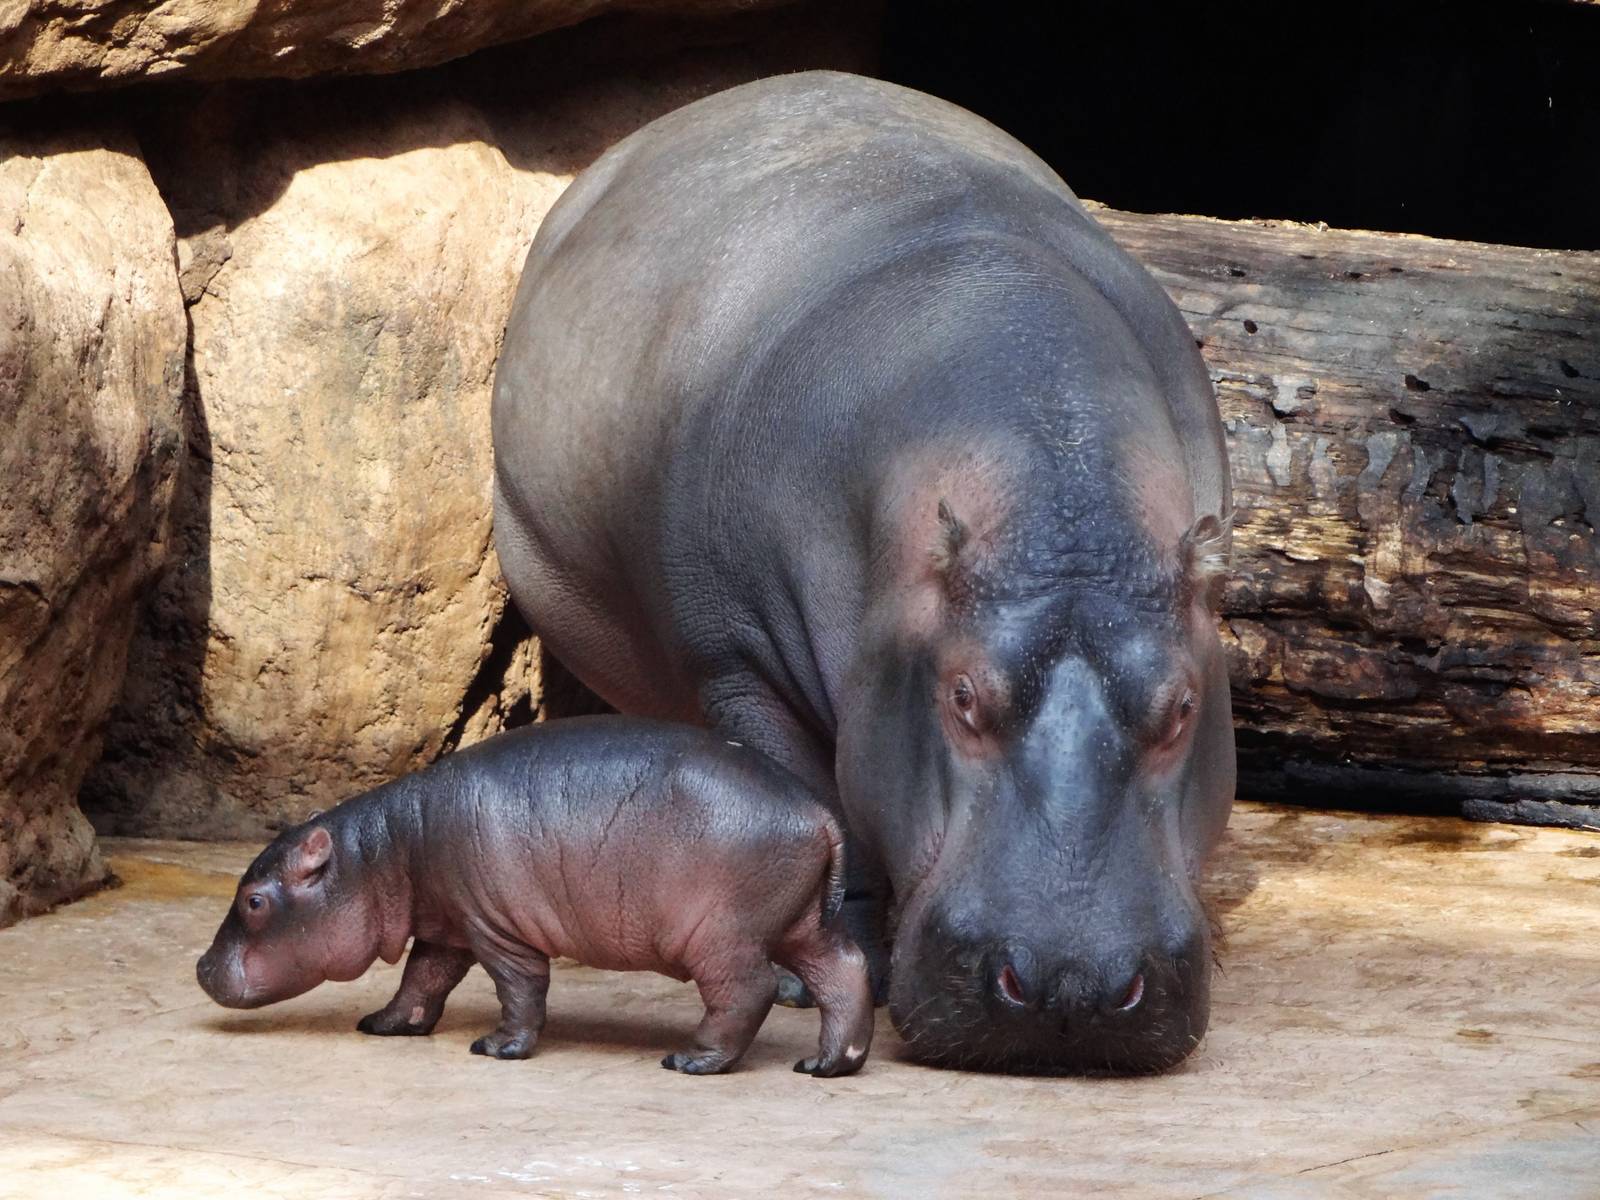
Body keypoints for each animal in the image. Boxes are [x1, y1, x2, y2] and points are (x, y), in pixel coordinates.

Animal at [196, 717, 874, 1077]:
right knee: (844, 969)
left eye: (253, 900)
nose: (201, 967)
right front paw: (383, 1024)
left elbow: (519, 986)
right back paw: (827, 1065)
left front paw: (497, 1048)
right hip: (803, 922)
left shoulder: (494, 928)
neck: (379, 854)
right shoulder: (445, 925)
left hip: (723, 934)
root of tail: (819, 812)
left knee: (747, 989)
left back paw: (689, 1061)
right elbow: (422, 980)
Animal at [492, 71, 1234, 1074]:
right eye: (961, 697)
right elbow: (815, 810)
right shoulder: (741, 662)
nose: (1069, 986)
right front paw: (814, 977)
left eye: (1185, 705)